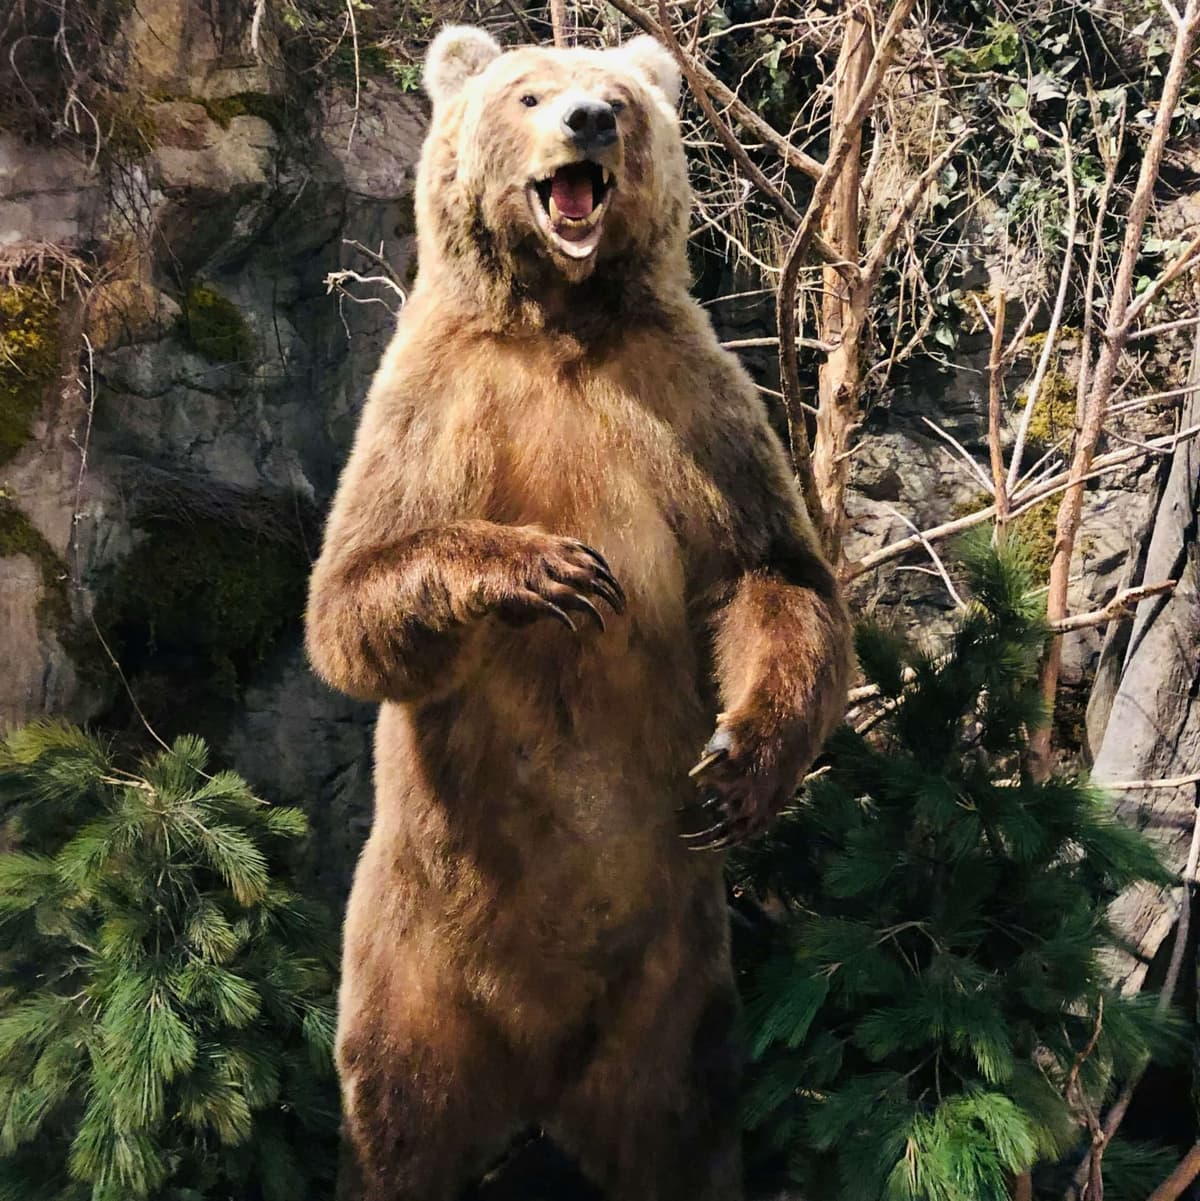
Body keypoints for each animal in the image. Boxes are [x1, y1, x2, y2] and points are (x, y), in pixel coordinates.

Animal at [304, 25, 851, 1201]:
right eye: (528, 91)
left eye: (621, 98)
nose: (588, 121)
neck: (559, 320)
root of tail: (542, 1076)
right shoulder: (432, 404)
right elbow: (353, 598)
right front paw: (549, 572)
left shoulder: (690, 397)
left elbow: (770, 574)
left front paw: (736, 767)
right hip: (409, 964)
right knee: (395, 1117)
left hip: (674, 988)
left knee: (688, 1120)